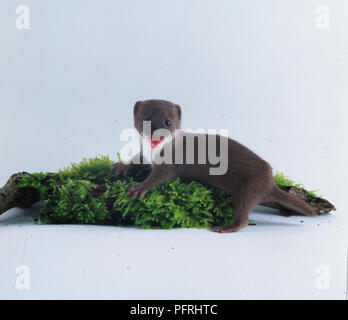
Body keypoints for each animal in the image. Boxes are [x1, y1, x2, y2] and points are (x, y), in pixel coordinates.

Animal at [111, 99, 318, 232]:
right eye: (146, 119)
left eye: (167, 122)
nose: (157, 136)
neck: (154, 150)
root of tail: (270, 181)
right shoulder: (145, 153)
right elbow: (137, 158)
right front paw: (121, 166)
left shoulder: (170, 161)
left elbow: (160, 176)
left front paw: (140, 188)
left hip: (248, 187)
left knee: (243, 214)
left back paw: (226, 227)